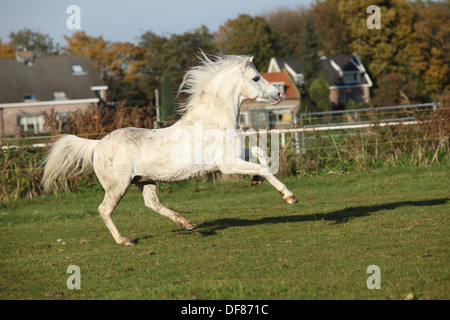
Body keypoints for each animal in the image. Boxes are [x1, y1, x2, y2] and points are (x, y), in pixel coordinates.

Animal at [41, 53, 296, 246]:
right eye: (255, 77)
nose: (279, 93)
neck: (210, 121)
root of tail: (97, 144)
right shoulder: (227, 165)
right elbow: (264, 168)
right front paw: (289, 197)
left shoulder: (234, 156)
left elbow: (260, 154)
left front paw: (255, 181)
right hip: (118, 185)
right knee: (104, 209)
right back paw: (125, 240)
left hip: (144, 180)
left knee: (151, 204)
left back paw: (188, 224)